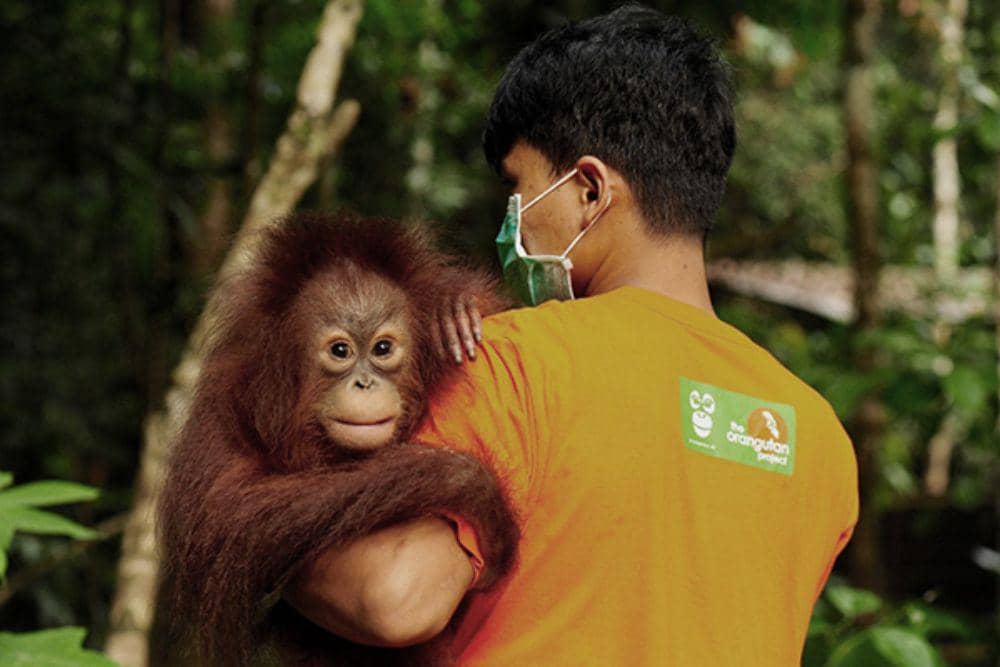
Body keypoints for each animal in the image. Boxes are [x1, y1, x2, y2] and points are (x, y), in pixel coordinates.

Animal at [155, 212, 520, 666]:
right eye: (340, 351)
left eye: (383, 348)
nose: (365, 384)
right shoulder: (223, 402)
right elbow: (228, 509)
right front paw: (476, 489)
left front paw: (451, 310)